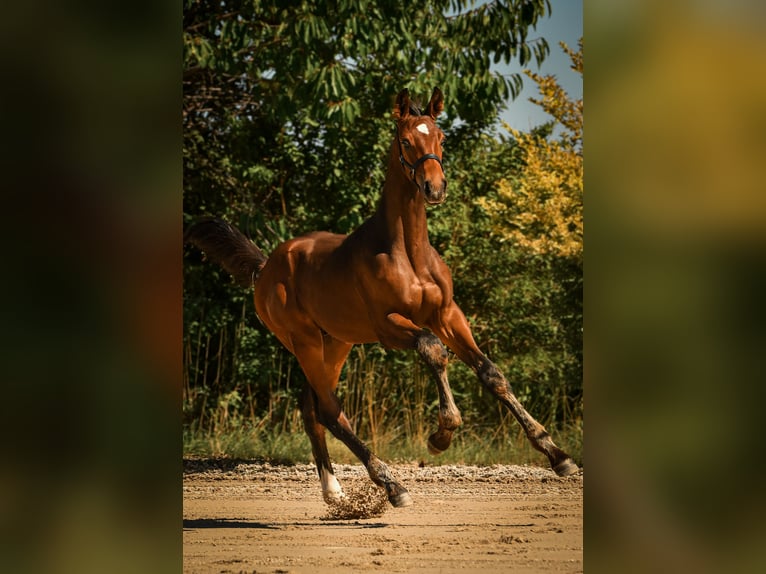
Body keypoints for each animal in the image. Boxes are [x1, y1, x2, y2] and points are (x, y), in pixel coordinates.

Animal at [184, 87, 579, 508]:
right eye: (406, 141)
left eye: (441, 139)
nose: (434, 188)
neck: (409, 253)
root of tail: (265, 267)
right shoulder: (389, 327)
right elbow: (432, 349)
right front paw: (442, 434)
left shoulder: (447, 314)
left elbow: (492, 374)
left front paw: (557, 454)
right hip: (303, 340)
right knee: (330, 410)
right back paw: (391, 485)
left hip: (334, 343)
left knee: (311, 408)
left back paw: (334, 491)